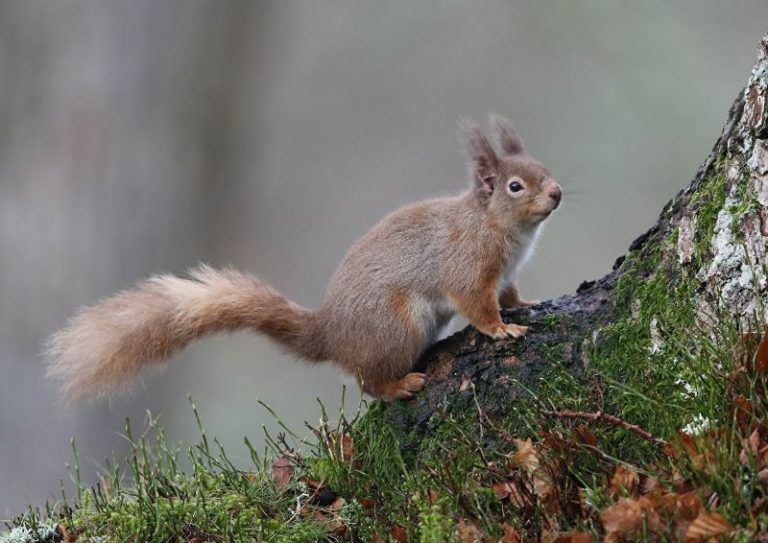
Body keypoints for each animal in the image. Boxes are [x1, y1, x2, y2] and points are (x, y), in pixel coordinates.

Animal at [49, 115, 564, 404]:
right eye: (515, 186)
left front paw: (526, 306)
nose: (558, 192)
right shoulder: (467, 267)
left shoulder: (504, 275)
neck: (498, 227)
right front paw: (502, 329)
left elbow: (509, 293)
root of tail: (330, 335)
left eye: (545, 168)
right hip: (396, 329)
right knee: (369, 382)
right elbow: (477, 304)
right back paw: (399, 387)